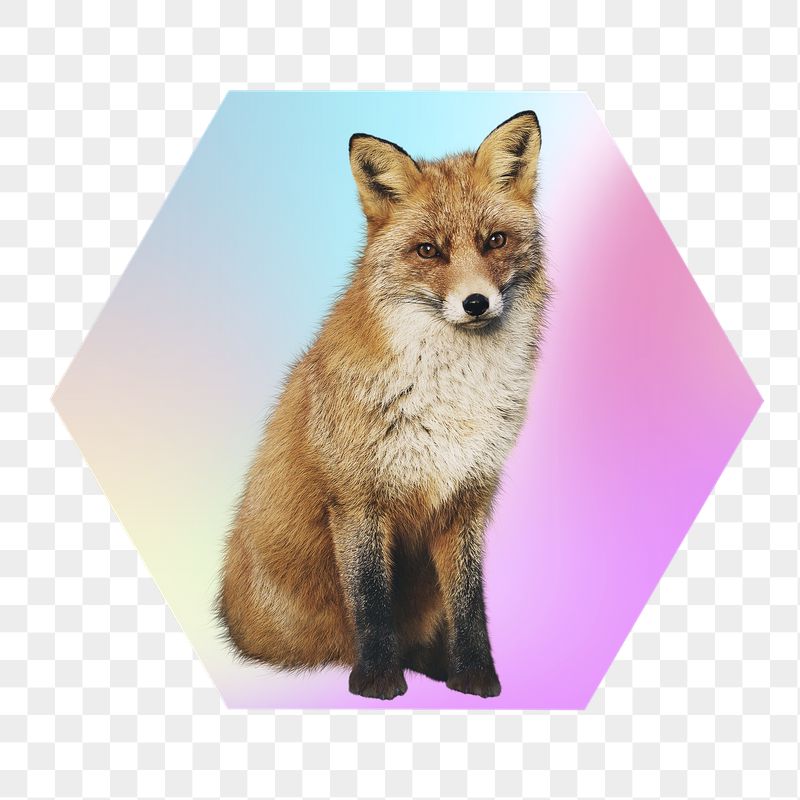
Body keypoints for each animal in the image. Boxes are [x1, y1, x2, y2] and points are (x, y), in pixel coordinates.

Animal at [218, 110, 550, 700]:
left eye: (495, 240)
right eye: (428, 251)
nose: (476, 302)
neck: (451, 398)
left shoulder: (467, 498)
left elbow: (470, 605)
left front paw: (475, 676)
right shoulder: (357, 499)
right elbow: (372, 602)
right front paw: (376, 680)